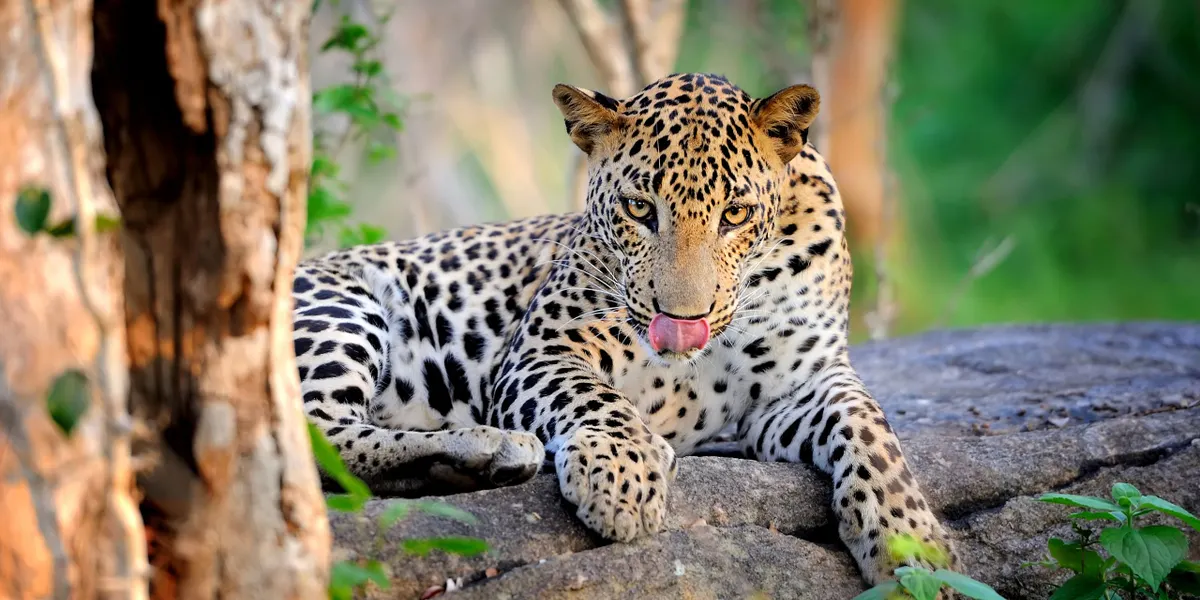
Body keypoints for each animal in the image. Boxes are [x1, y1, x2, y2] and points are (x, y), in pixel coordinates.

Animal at [292, 72, 957, 584]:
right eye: (640, 209)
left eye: (735, 214)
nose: (683, 322)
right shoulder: (543, 351)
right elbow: (595, 397)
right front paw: (623, 474)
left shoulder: (802, 384)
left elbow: (871, 429)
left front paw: (913, 544)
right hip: (341, 305)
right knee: (315, 438)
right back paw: (487, 448)